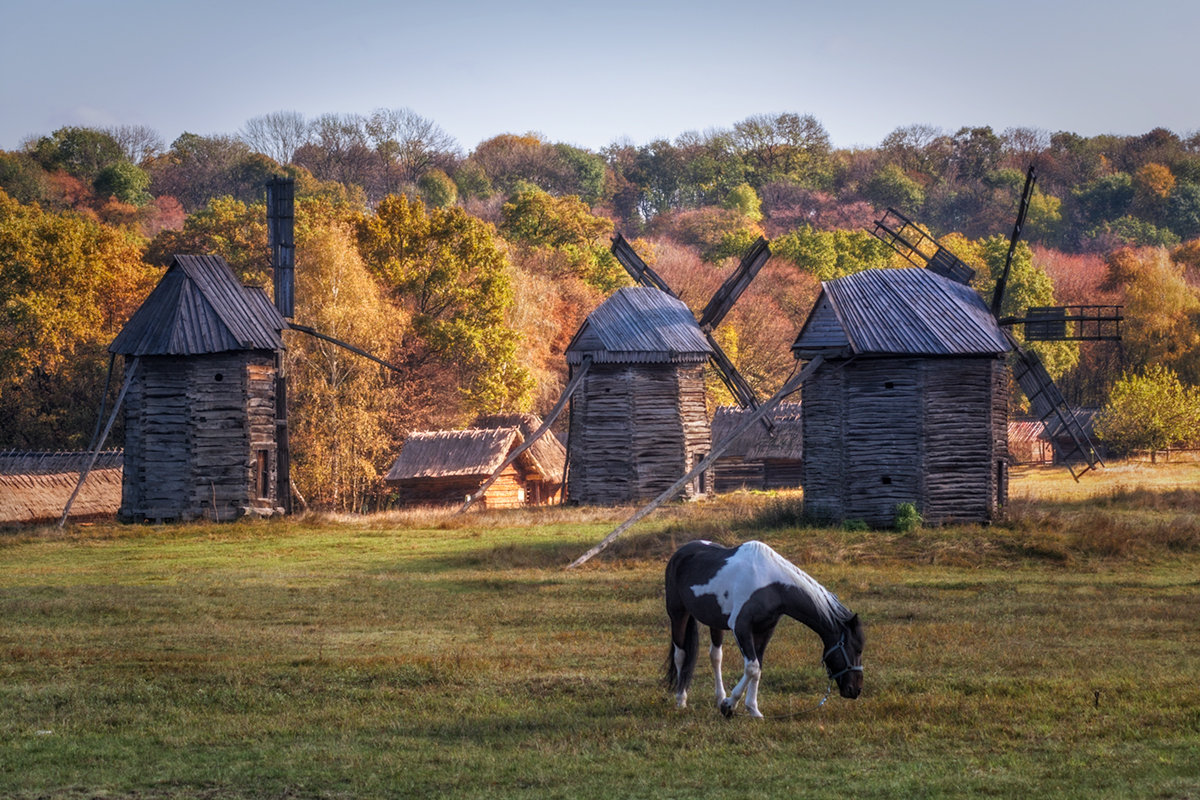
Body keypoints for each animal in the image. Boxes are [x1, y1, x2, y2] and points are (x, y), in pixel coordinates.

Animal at [667, 537, 864, 719]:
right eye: (857, 649)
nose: (855, 690)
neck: (772, 585)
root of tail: (681, 552)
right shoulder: (741, 627)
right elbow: (752, 667)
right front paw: (729, 706)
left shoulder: (765, 629)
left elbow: (757, 668)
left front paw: (752, 709)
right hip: (678, 614)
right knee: (680, 655)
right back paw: (681, 699)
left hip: (714, 622)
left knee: (715, 656)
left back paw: (719, 698)